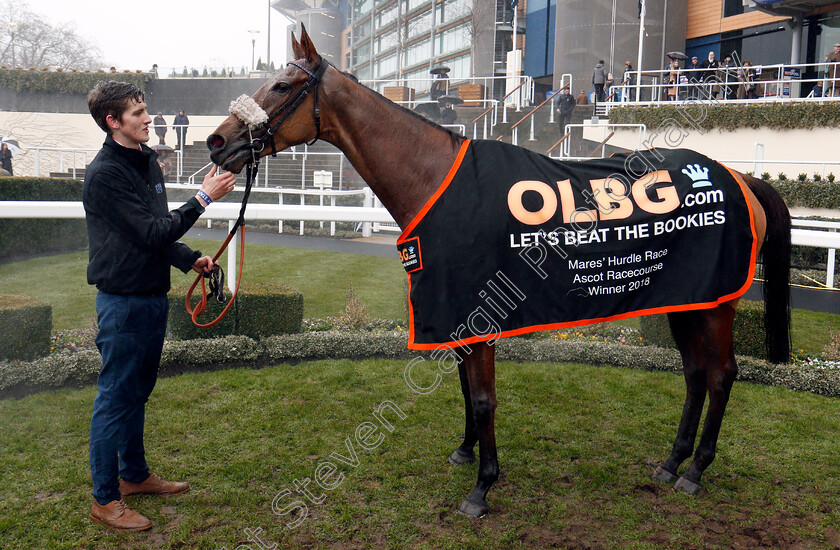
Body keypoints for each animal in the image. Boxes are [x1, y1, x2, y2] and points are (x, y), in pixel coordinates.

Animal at [207, 25, 792, 520]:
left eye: (282, 85)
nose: (216, 142)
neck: (436, 180)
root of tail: (739, 177)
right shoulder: (458, 311)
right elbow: (467, 390)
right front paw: (466, 453)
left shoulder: (479, 311)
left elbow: (484, 397)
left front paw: (483, 487)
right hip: (686, 300)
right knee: (694, 374)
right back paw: (672, 462)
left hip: (717, 304)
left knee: (720, 375)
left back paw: (696, 470)